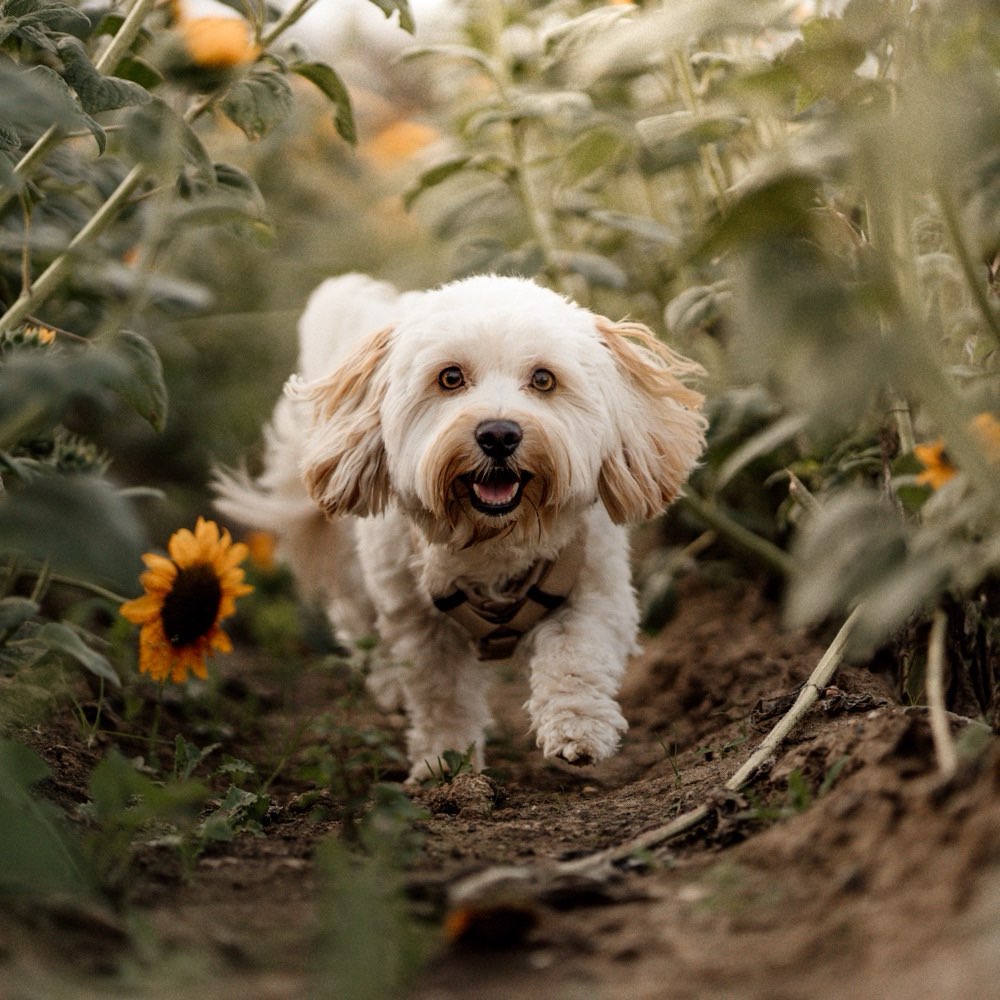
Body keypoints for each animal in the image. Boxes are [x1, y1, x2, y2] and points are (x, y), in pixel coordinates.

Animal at [216, 274, 708, 780]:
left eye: (543, 379)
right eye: (450, 378)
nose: (499, 434)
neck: (493, 538)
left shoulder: (594, 588)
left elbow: (578, 654)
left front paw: (579, 729)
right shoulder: (419, 620)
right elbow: (441, 694)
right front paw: (445, 764)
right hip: (359, 574)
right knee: (358, 622)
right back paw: (388, 686)